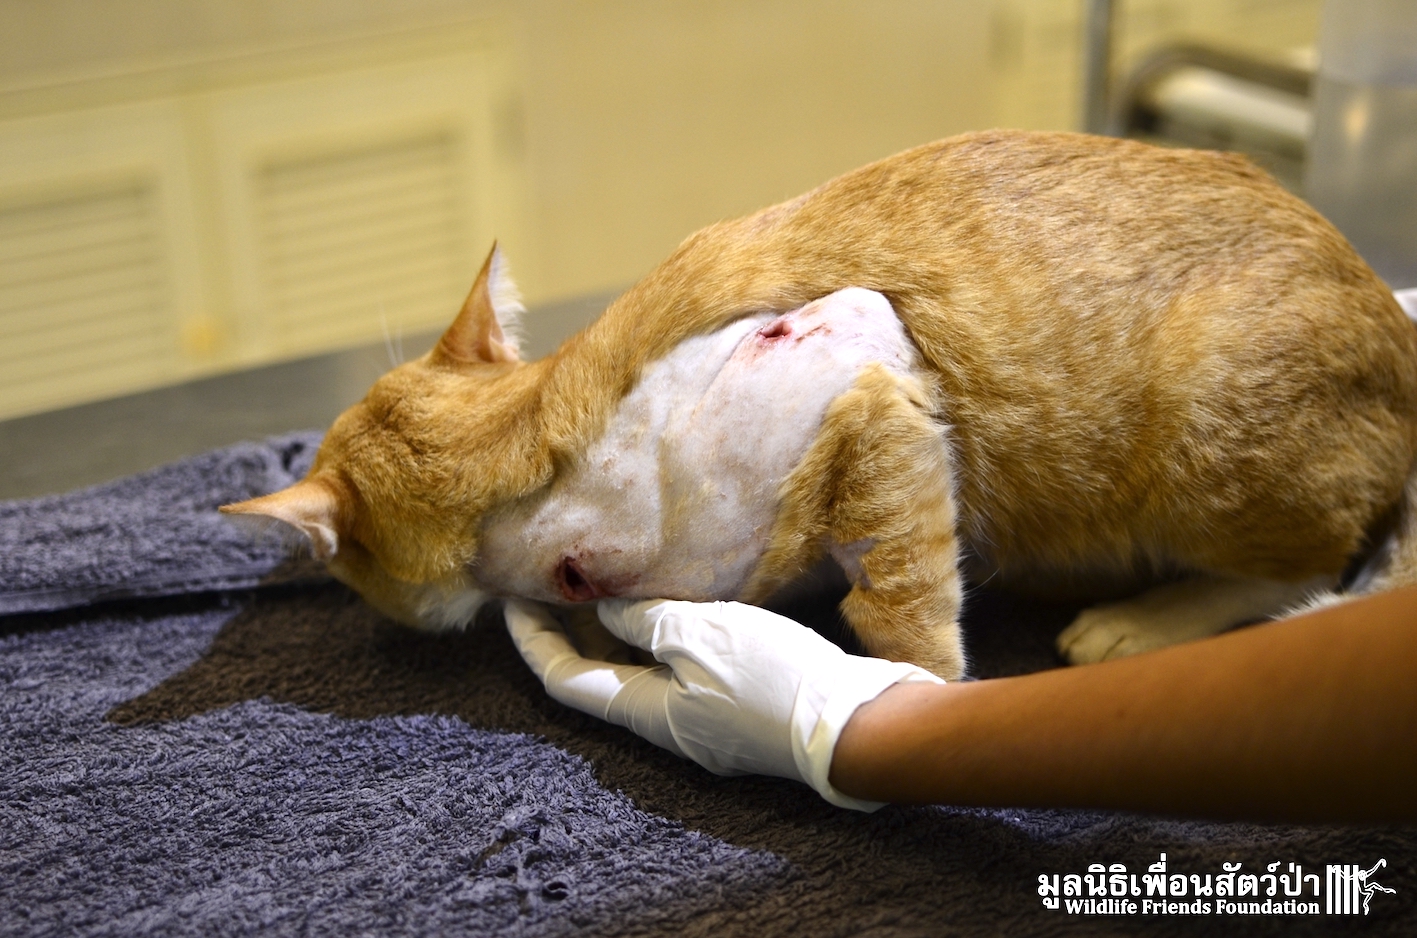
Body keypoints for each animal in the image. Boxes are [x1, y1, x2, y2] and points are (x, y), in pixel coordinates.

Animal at [222, 130, 1417, 681]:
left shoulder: (868, 359)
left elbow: (898, 615)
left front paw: (906, 697)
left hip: (1212, 430)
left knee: (1306, 566)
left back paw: (1146, 618)